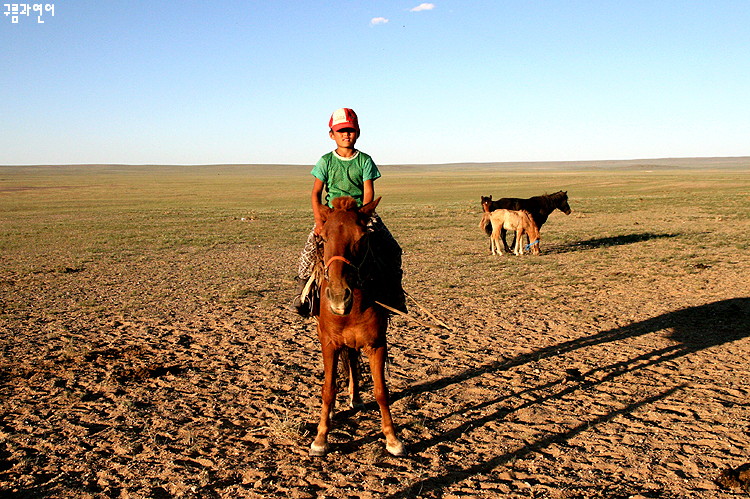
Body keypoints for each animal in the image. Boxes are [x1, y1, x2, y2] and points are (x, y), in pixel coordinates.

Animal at [310, 195, 408, 458]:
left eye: (362, 238)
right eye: (324, 238)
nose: (338, 297)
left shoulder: (376, 344)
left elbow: (381, 392)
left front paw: (392, 438)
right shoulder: (329, 343)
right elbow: (328, 389)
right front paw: (321, 438)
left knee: (353, 360)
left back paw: (356, 397)